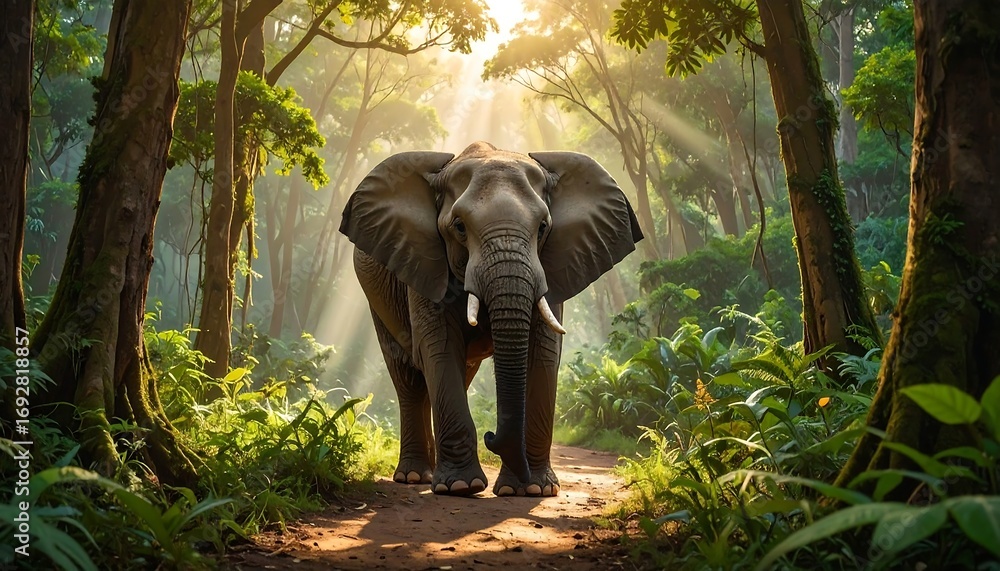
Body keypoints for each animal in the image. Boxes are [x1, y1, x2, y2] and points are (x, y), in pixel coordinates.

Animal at [339, 141, 642, 497]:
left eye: (543, 228)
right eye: (459, 227)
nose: (491, 436)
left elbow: (542, 353)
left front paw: (531, 490)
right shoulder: (425, 260)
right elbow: (439, 348)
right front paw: (460, 487)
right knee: (409, 374)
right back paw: (415, 477)